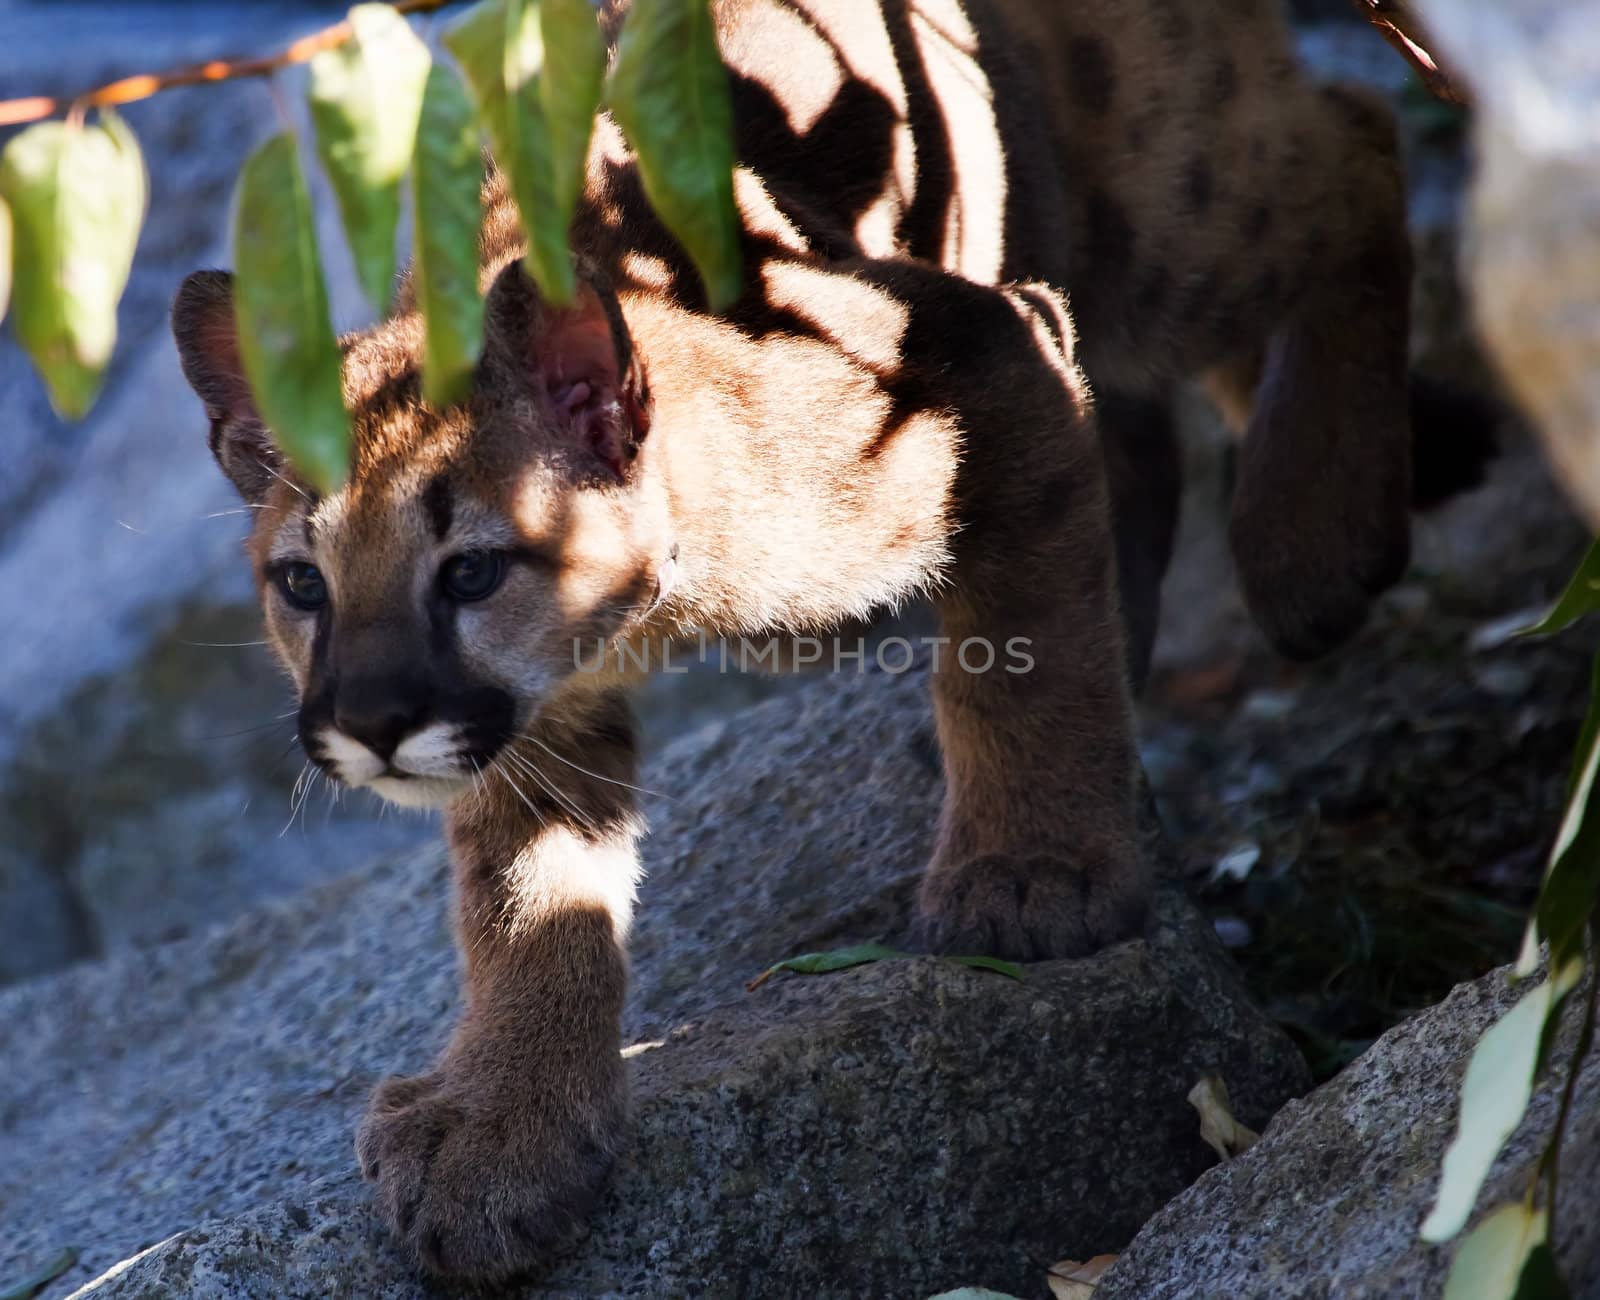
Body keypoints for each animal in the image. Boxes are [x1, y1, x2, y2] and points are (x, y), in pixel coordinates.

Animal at [175, 0, 1472, 1280]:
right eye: (302, 583)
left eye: (472, 571)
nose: (371, 725)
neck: (669, 594)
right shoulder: (538, 714)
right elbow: (522, 890)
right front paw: (502, 1123)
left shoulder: (978, 349)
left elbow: (1024, 644)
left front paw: (1033, 872)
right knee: (1144, 435)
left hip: (1155, 184)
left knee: (1353, 139)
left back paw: (1316, 536)